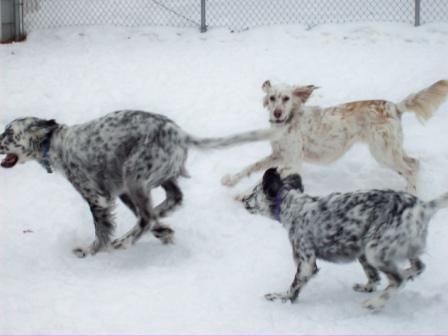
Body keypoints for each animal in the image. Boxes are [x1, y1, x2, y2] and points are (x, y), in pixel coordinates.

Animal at [0, 110, 274, 258]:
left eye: (9, 134)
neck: (56, 144)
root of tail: (179, 133)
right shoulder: (119, 192)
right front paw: (164, 230)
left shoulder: (97, 198)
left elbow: (101, 231)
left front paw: (90, 251)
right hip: (144, 179)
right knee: (171, 199)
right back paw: (159, 221)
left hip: (135, 175)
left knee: (147, 216)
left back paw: (124, 241)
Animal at [222, 79, 448, 194]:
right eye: (271, 98)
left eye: (286, 98)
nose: (277, 113)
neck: (288, 122)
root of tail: (394, 106)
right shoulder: (278, 155)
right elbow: (250, 168)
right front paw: (230, 181)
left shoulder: (293, 162)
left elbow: (266, 178)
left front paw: (243, 195)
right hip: (393, 150)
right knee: (414, 164)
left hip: (383, 153)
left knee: (409, 170)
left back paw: (411, 194)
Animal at [242, 168, 448, 310]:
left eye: (252, 193)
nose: (242, 199)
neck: (292, 206)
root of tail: (424, 207)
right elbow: (373, 277)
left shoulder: (306, 261)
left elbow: (294, 287)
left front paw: (280, 297)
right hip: (374, 249)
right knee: (417, 267)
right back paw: (399, 277)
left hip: (375, 250)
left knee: (397, 280)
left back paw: (374, 303)